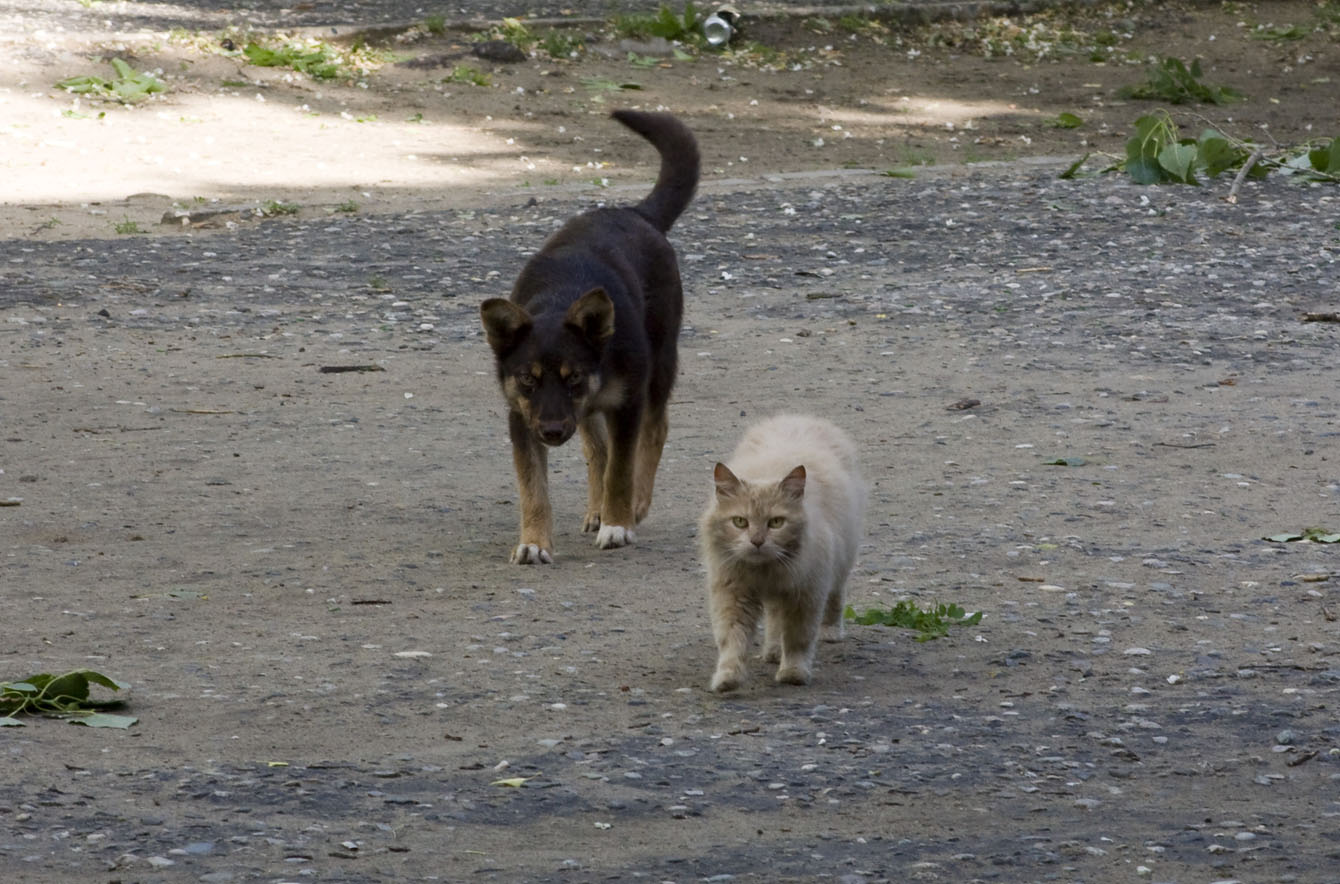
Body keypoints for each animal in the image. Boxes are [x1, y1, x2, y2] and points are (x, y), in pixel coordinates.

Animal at [479, 110, 702, 562]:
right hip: (587, 411)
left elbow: (621, 468)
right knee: (597, 449)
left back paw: (635, 504)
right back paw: (597, 509)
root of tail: (636, 212)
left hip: (659, 365)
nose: (551, 432)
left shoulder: (626, 404)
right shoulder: (522, 418)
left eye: (575, 376)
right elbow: (533, 488)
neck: (560, 299)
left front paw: (618, 525)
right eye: (527, 379)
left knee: (654, 431)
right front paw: (534, 542)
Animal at [696, 412, 862, 691]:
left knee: (836, 597)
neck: (765, 571)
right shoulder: (734, 595)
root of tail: (799, 418)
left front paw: (793, 673)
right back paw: (772, 652)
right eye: (739, 522)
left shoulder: (805, 594)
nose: (757, 541)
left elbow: (798, 639)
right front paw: (728, 678)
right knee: (774, 620)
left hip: (840, 562)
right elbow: (732, 641)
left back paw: (830, 632)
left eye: (776, 522)